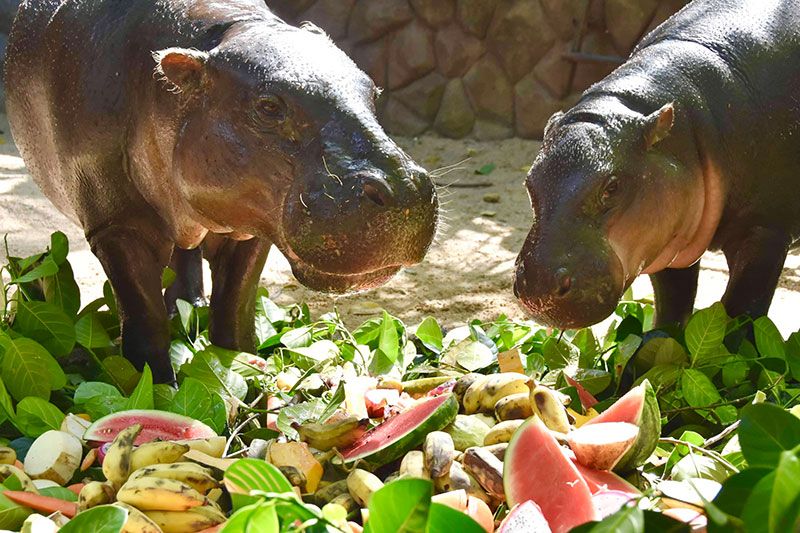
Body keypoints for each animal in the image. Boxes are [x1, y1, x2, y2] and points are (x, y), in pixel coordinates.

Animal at [6, 0, 438, 383]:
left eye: (373, 92)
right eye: (268, 106)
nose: (404, 190)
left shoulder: (250, 226)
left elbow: (234, 307)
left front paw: (244, 366)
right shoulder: (117, 226)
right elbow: (144, 317)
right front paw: (158, 388)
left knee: (187, 253)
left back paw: (190, 304)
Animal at [514, 0, 800, 330]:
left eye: (612, 187)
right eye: (529, 183)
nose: (538, 291)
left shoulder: (766, 231)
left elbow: (742, 311)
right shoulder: (668, 235)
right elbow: (673, 303)